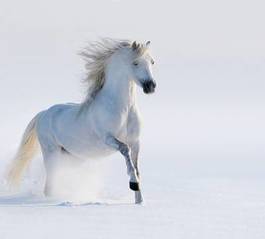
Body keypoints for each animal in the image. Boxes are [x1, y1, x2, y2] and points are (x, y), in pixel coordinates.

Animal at [7, 38, 156, 204]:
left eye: (152, 62)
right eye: (135, 62)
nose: (151, 86)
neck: (123, 109)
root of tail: (43, 113)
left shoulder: (136, 141)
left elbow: (136, 167)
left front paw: (139, 200)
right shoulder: (108, 138)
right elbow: (125, 150)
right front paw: (133, 184)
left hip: (71, 157)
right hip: (51, 152)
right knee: (49, 185)